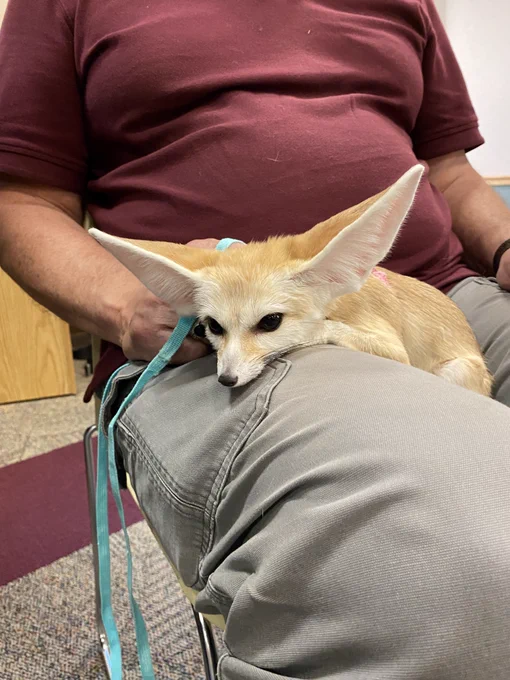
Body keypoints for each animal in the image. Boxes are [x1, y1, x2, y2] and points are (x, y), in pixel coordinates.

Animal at [89, 164, 493, 396]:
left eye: (270, 323)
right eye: (213, 327)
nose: (226, 380)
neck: (339, 301)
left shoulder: (394, 349)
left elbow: (324, 330)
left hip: (456, 369)